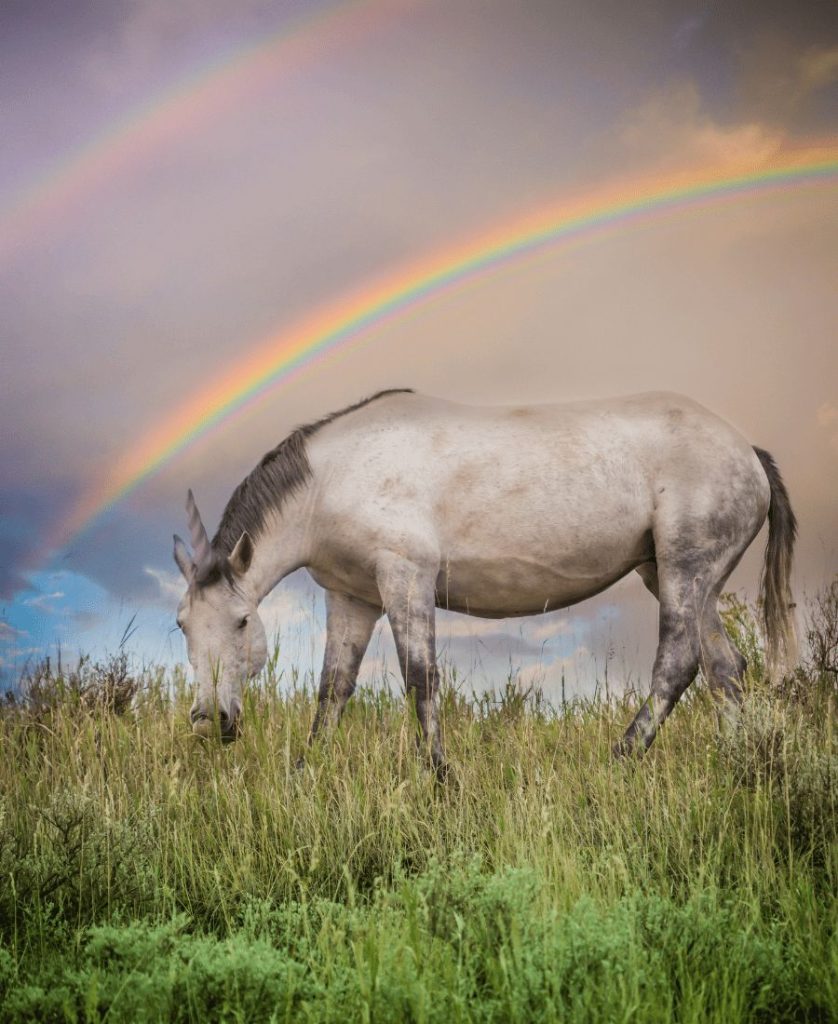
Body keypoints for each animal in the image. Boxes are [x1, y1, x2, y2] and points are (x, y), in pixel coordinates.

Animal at [173, 387, 794, 770]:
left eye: (242, 621)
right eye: (182, 625)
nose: (209, 720)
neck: (334, 477)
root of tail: (749, 452)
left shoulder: (405, 577)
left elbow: (420, 679)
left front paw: (441, 777)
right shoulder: (352, 596)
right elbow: (333, 690)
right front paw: (308, 772)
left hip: (686, 570)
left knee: (676, 662)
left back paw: (619, 758)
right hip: (680, 579)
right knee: (723, 668)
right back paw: (741, 764)